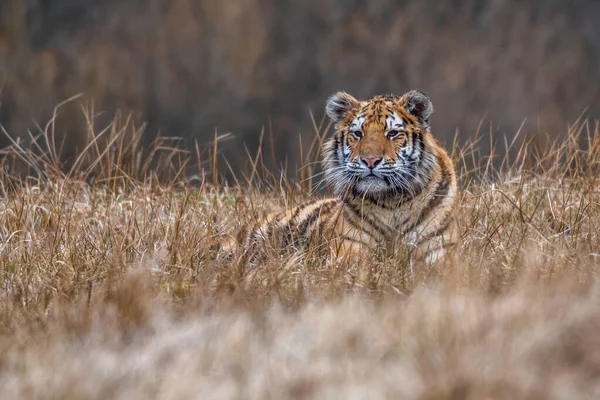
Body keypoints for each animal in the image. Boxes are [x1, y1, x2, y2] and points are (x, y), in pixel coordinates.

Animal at [221, 89, 460, 268]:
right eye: (358, 134)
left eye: (392, 134)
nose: (370, 160)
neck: (392, 202)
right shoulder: (350, 247)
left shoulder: (438, 250)